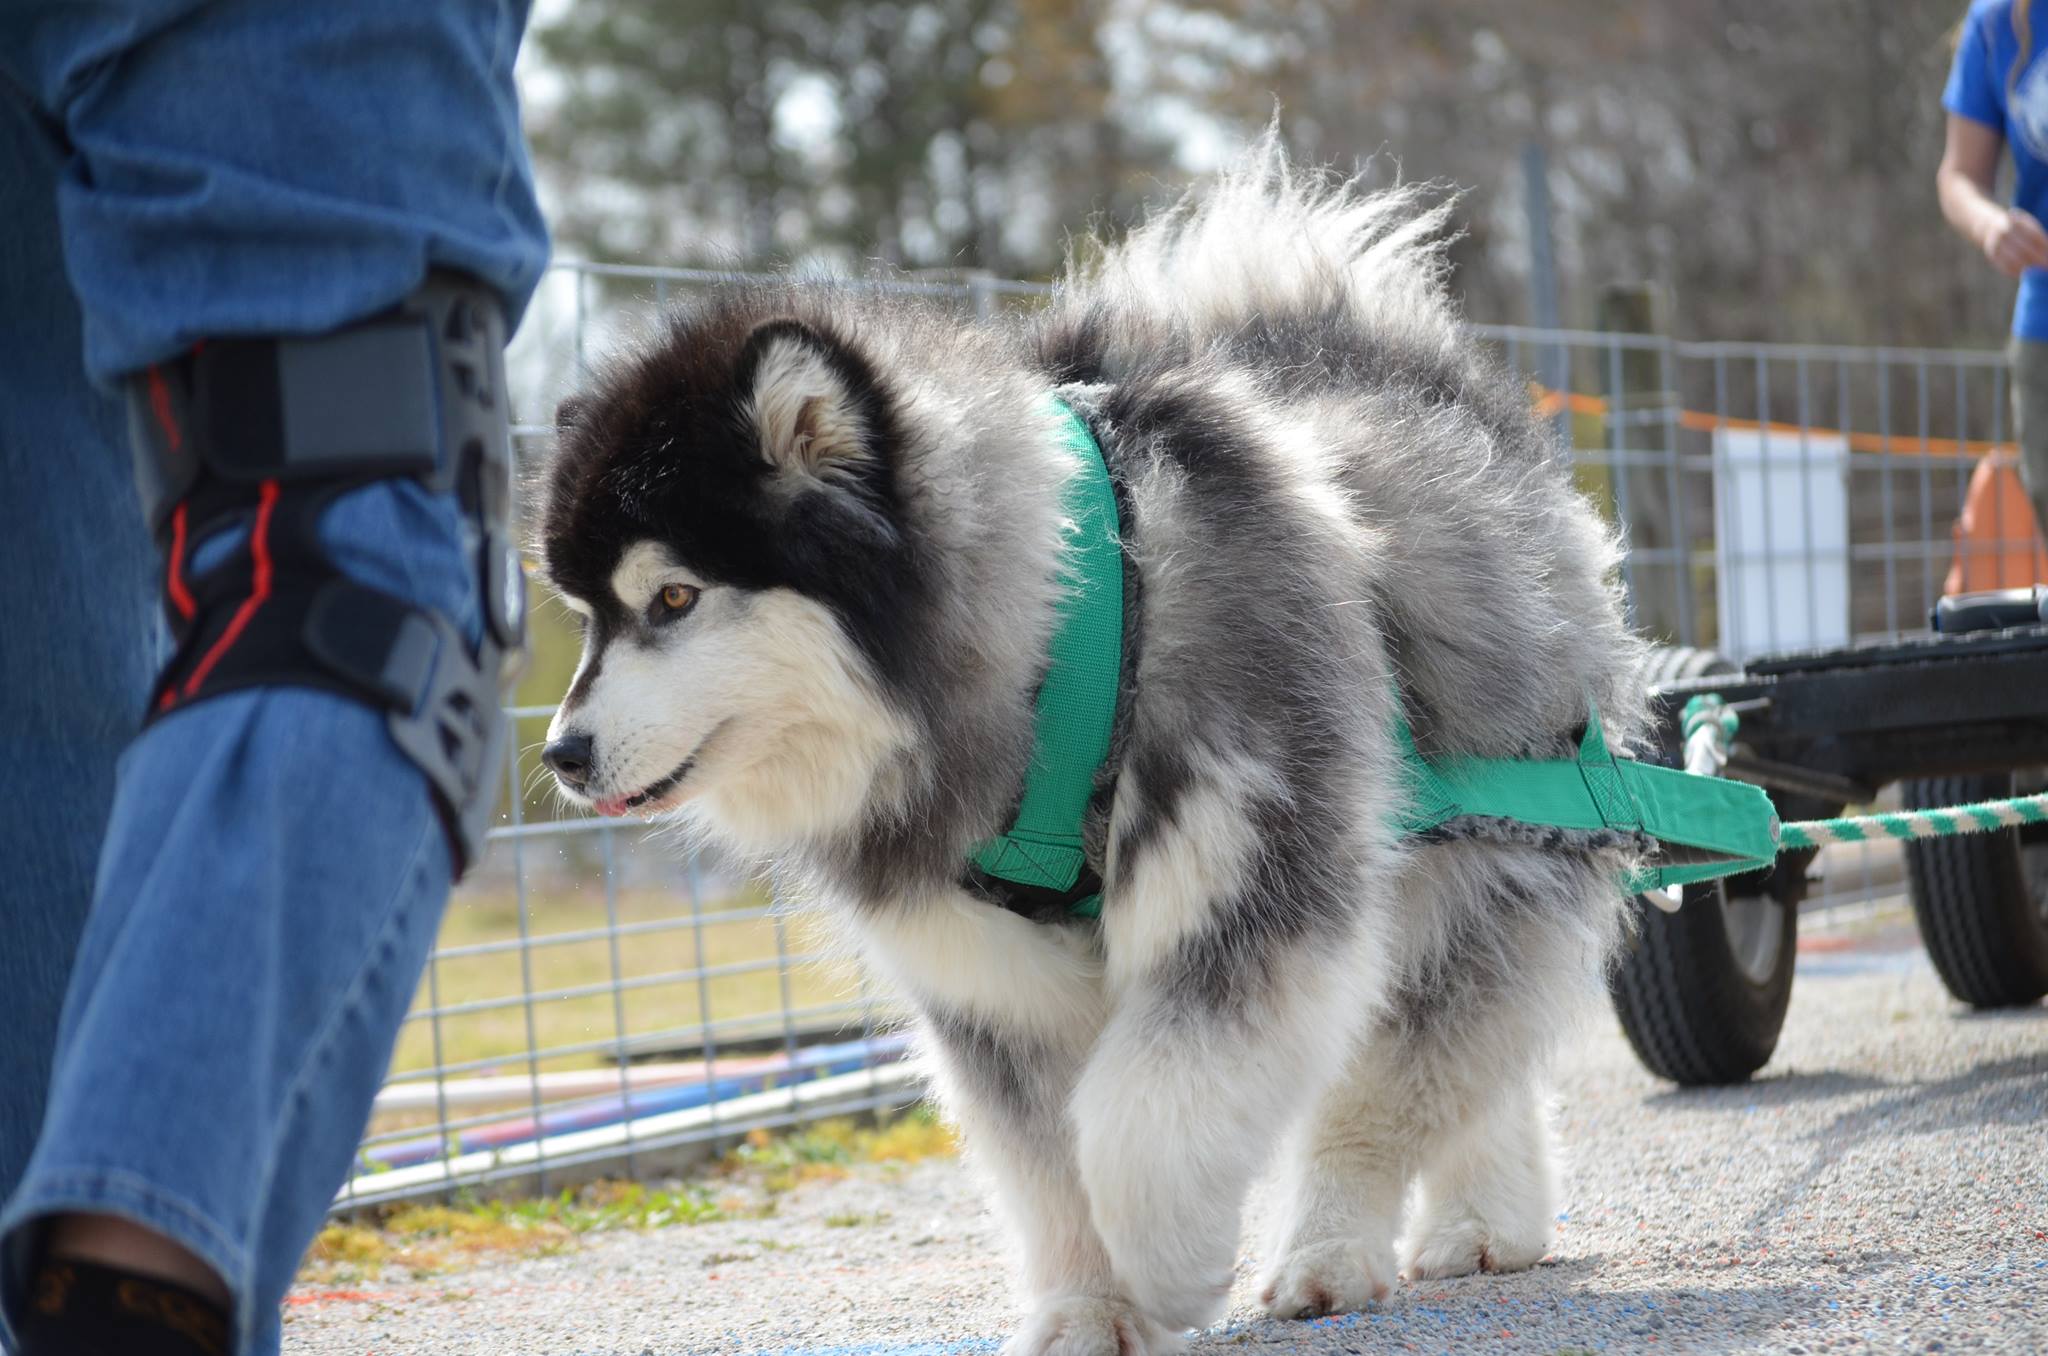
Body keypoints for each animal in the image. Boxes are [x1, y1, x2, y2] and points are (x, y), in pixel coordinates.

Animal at [540, 143, 1646, 1351]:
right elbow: (1047, 1163)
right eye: (585, 615)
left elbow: (1141, 1115)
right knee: (1463, 1047)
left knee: (1400, 1071)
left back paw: (1343, 1246)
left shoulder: (1250, 885)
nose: (560, 754)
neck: (1065, 640)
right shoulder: (986, 978)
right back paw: (1488, 1216)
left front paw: (1168, 1263)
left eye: (674, 597)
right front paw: (1086, 1307)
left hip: (1490, 831)